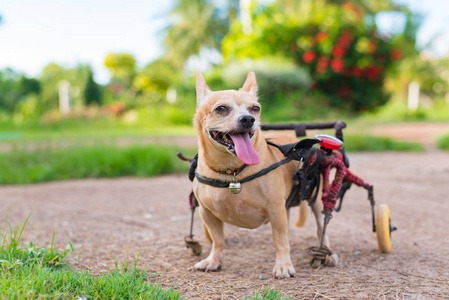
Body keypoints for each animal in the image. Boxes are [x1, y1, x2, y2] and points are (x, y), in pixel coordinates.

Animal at [192, 71, 336, 278]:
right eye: (221, 108)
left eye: (255, 108)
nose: (248, 119)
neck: (232, 172)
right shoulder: (207, 213)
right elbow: (217, 240)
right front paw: (213, 260)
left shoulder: (276, 211)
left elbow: (280, 241)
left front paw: (283, 265)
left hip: (316, 201)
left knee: (321, 229)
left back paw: (328, 253)